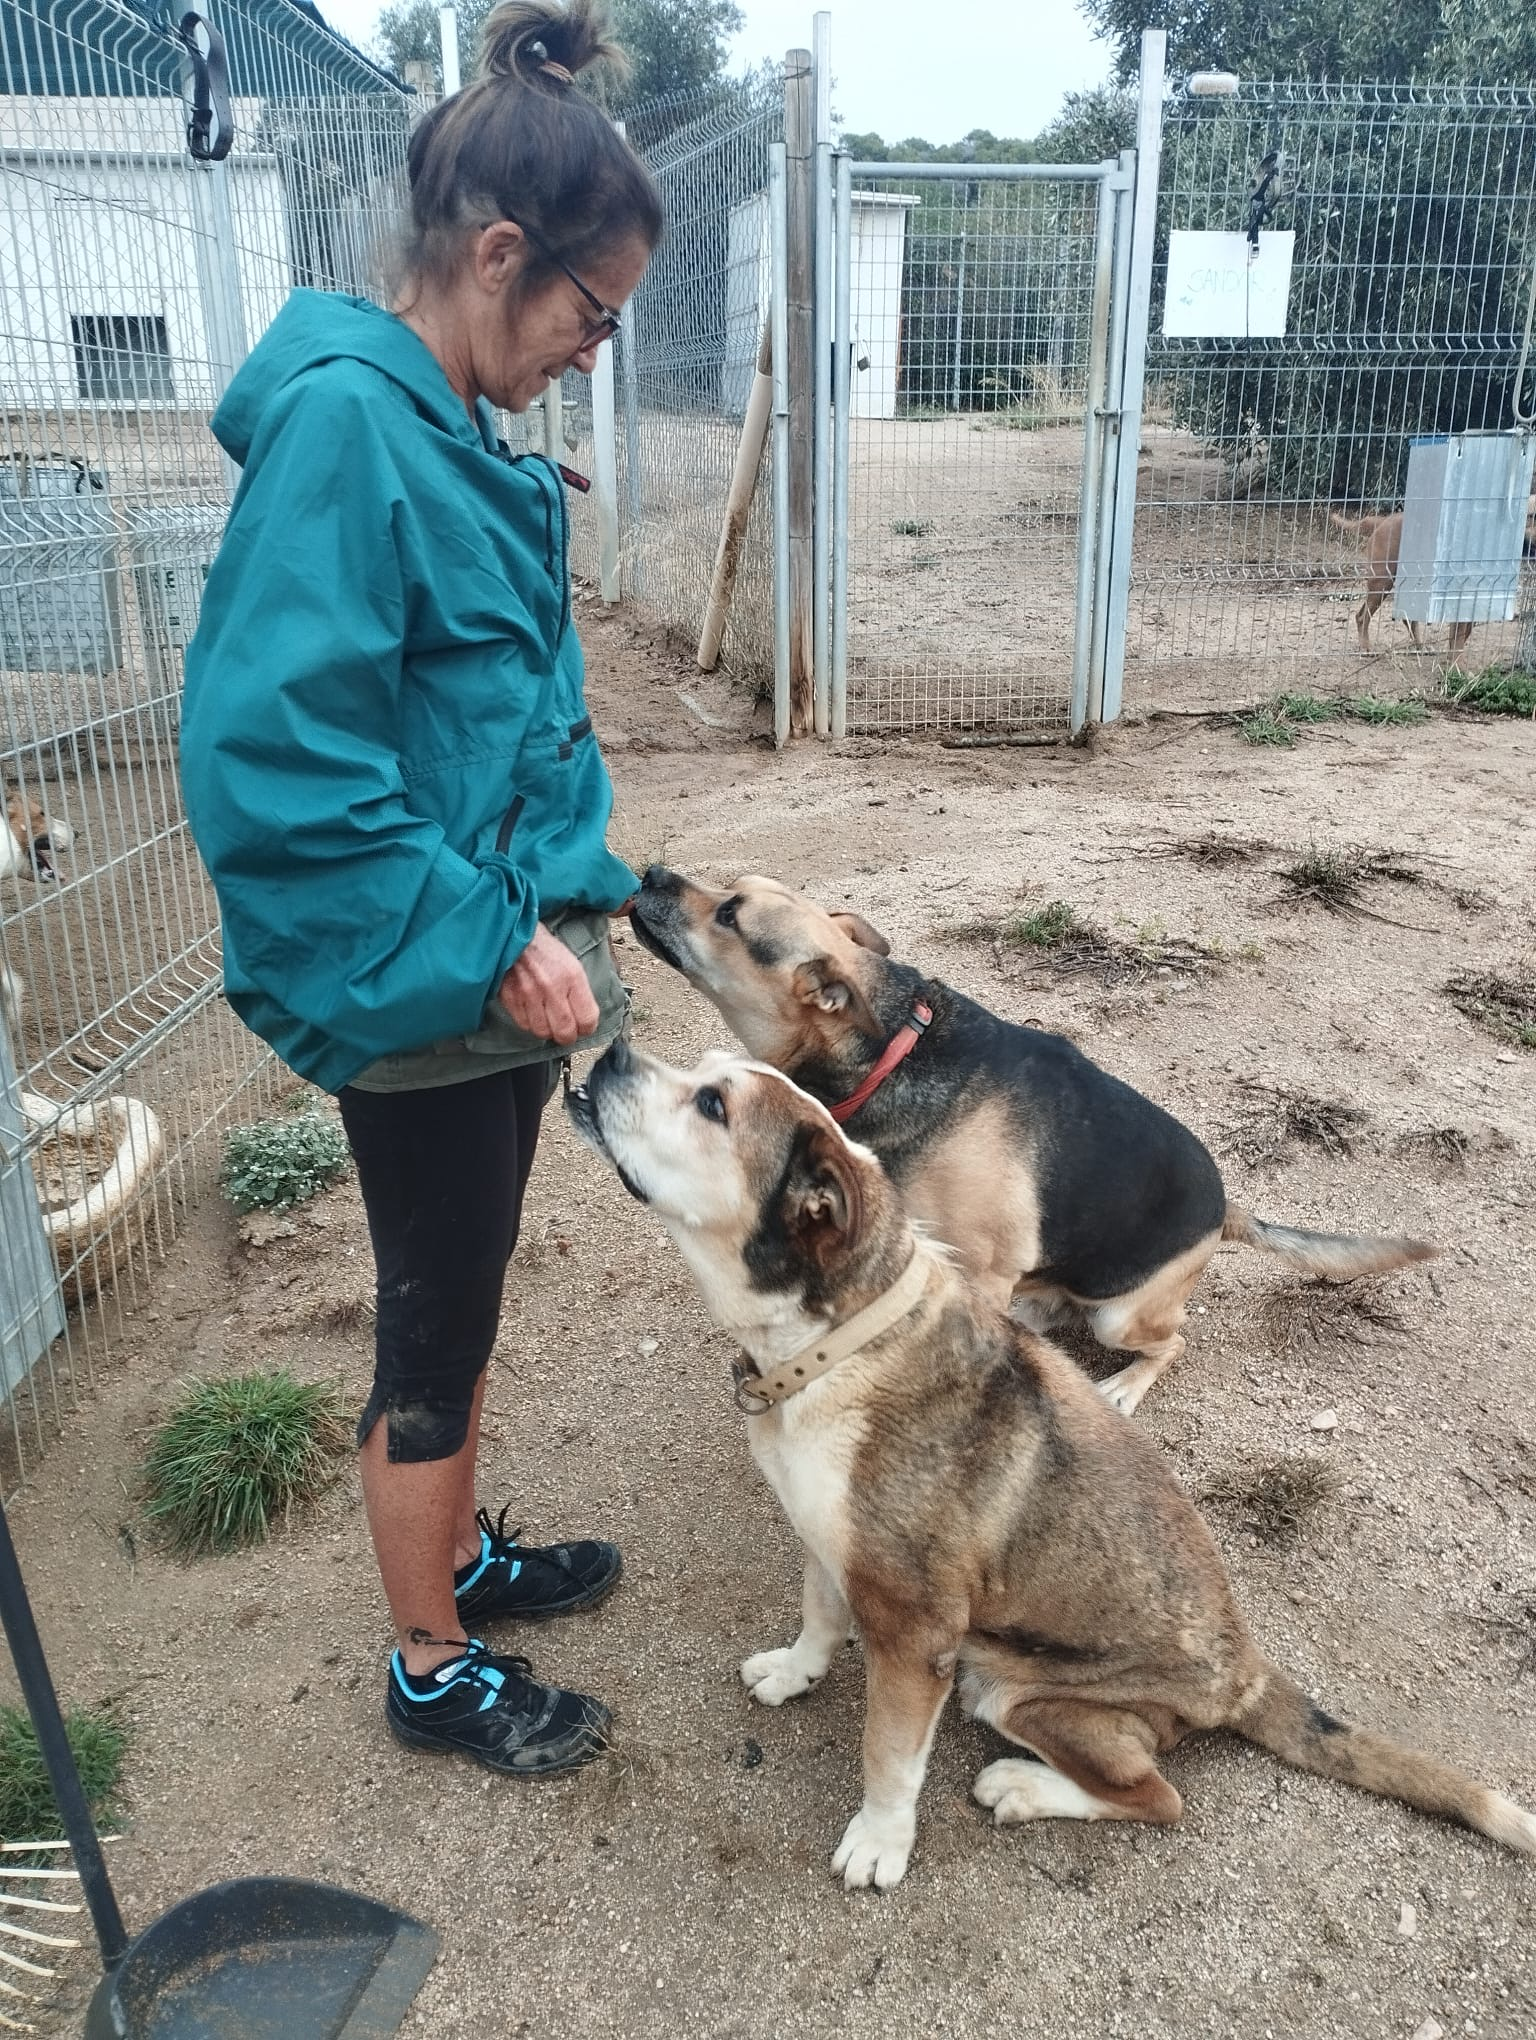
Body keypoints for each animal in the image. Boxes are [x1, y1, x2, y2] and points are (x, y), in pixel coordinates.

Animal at [568, 1039, 1535, 1891]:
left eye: (712, 1105)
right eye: (706, 1076)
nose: (606, 1053)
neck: (836, 1345)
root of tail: (1248, 1675)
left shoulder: (918, 1636)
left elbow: (889, 1756)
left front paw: (880, 1843)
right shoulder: (827, 1540)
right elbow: (817, 1615)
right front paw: (795, 1671)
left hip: (1013, 1689)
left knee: (1159, 1797)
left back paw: (1024, 1789)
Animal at [627, 869, 1434, 1413]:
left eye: (729, 912)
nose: (651, 873)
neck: (893, 1051)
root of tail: (1227, 1212)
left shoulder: (979, 1268)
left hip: (1120, 1313)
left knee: (1171, 1341)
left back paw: (1122, 1386)